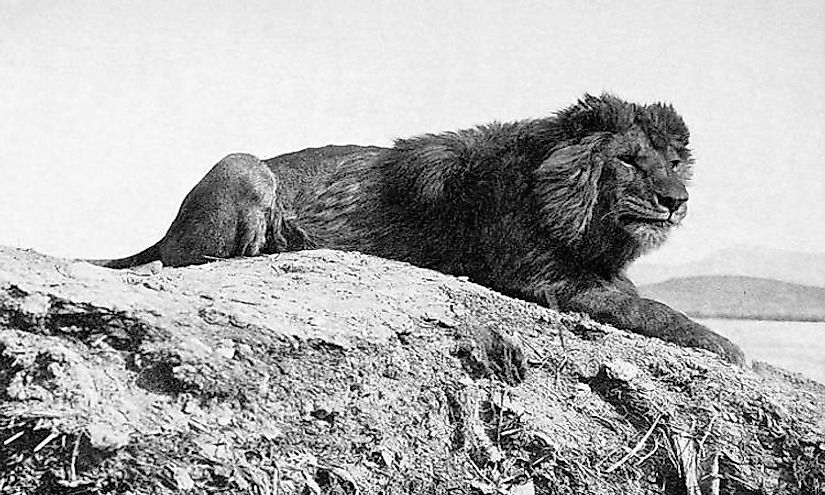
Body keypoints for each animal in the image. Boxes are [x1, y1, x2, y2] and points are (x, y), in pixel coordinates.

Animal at [91, 94, 748, 364]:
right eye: (630, 160)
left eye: (673, 160)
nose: (676, 201)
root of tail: (164, 231)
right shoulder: (547, 279)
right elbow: (654, 311)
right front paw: (730, 347)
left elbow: (645, 300)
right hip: (243, 166)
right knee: (190, 256)